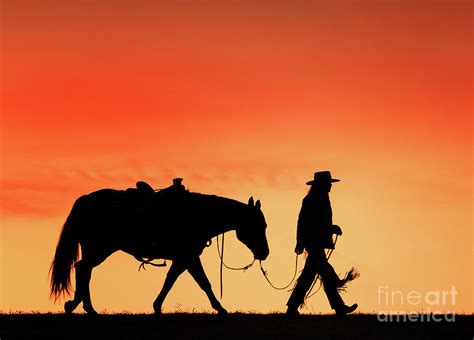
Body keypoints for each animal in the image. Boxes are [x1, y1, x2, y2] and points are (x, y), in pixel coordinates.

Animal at [51, 187, 270, 314]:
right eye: (258, 225)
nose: (265, 253)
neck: (199, 214)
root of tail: (85, 200)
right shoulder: (188, 256)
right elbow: (203, 283)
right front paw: (221, 308)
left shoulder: (184, 258)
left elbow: (172, 280)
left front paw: (157, 306)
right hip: (100, 249)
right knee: (83, 269)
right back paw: (84, 307)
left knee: (84, 270)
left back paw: (80, 305)